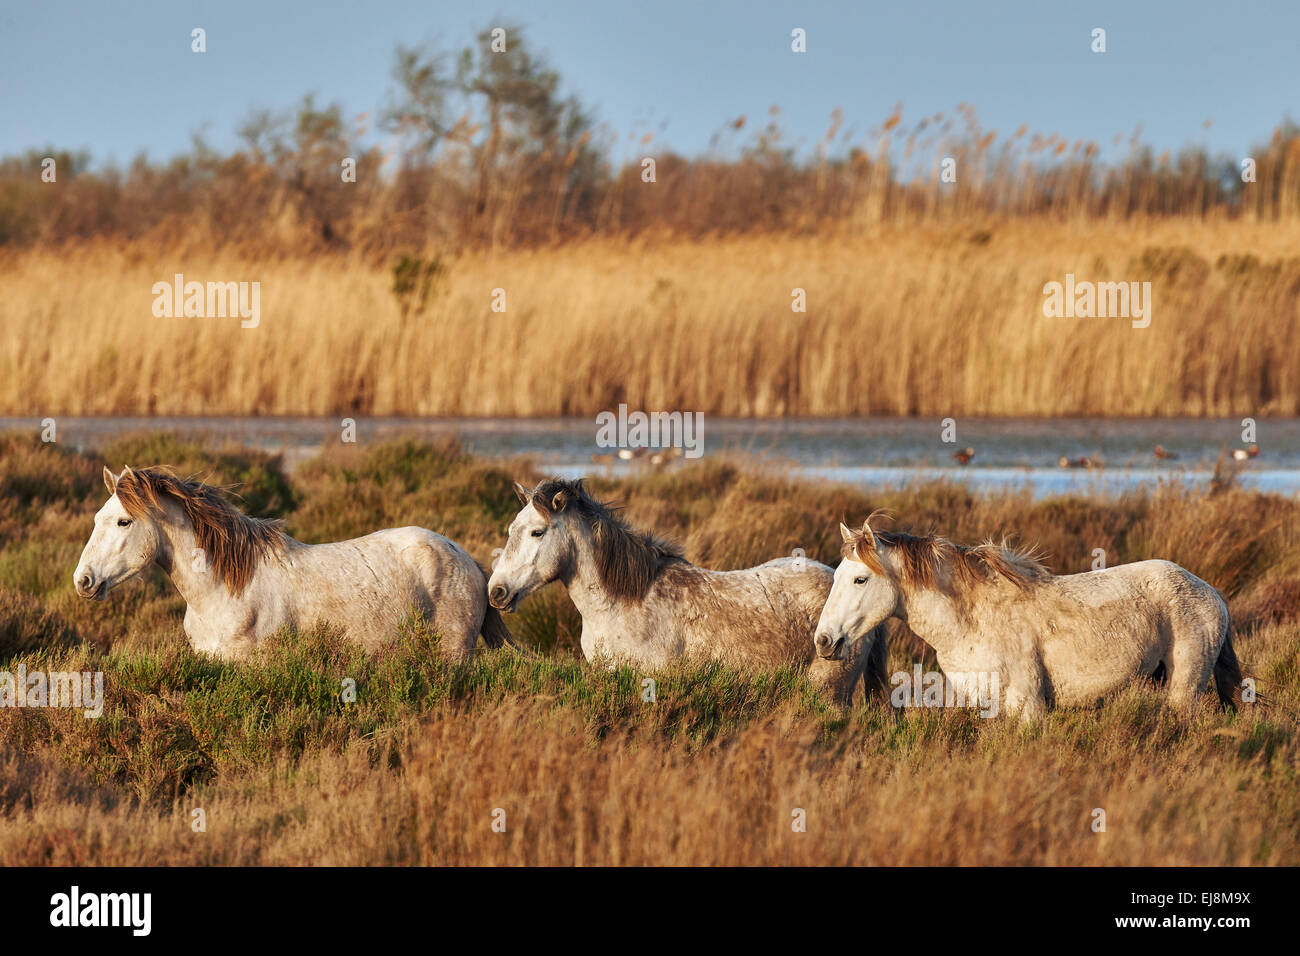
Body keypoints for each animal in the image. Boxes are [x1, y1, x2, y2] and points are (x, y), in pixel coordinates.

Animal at [73, 468, 514, 660]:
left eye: (123, 521)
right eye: (96, 517)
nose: (83, 581)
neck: (224, 590)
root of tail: (468, 560)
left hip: (453, 654)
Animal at [816, 515, 1242, 717]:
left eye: (860, 579)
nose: (824, 641)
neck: (973, 619)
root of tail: (1211, 592)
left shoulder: (1028, 706)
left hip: (1184, 689)